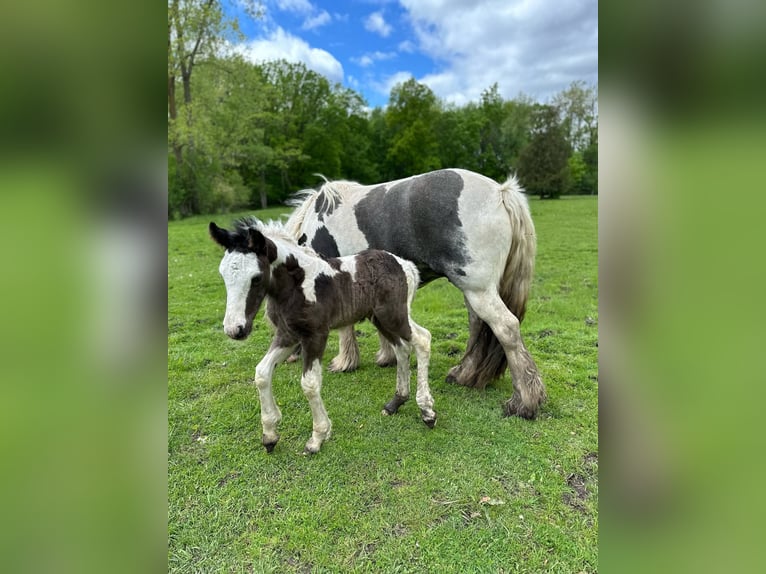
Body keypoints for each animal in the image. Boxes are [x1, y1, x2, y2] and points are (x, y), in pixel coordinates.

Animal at [209, 217, 436, 454]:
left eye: (255, 278)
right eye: (223, 275)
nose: (235, 329)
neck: (297, 286)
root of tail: (404, 264)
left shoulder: (316, 335)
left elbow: (309, 384)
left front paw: (317, 437)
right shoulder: (287, 336)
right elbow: (262, 373)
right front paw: (270, 435)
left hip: (394, 315)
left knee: (422, 339)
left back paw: (427, 411)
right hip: (380, 319)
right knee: (402, 348)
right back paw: (396, 402)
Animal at [285, 168, 546, 419]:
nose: (290, 357)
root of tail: (500, 192)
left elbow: (346, 329)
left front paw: (345, 362)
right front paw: (386, 356)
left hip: (478, 290)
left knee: (506, 328)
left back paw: (524, 402)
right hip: (474, 291)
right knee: (478, 325)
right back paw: (464, 375)